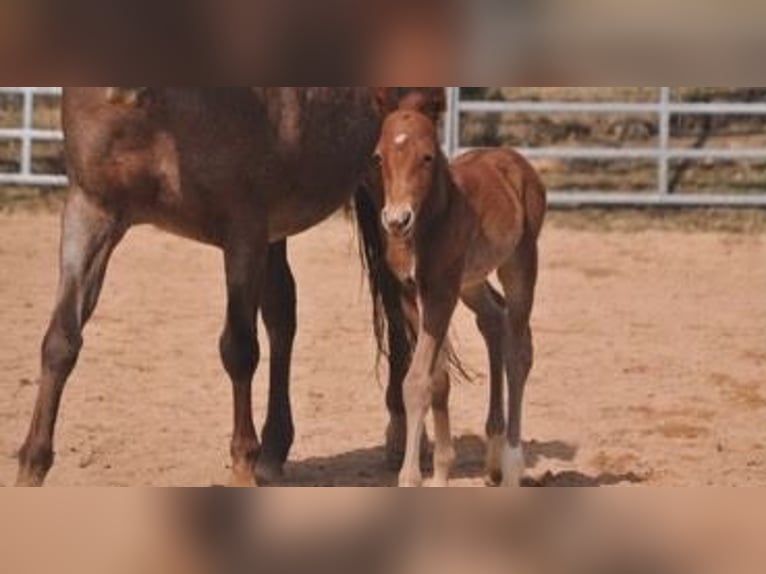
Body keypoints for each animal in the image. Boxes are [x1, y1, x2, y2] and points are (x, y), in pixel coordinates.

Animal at [16, 87, 436, 487]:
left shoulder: (244, 228)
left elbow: (239, 349)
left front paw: (242, 466)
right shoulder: (90, 210)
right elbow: (61, 341)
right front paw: (31, 466)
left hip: (386, 195)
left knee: (394, 303)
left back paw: (400, 437)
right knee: (283, 314)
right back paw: (274, 450)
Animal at [373, 91, 547, 487]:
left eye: (427, 156)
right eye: (378, 156)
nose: (396, 220)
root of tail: (515, 160)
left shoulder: (441, 293)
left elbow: (417, 380)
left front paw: (410, 477)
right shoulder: (411, 293)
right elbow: (437, 378)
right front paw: (440, 471)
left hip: (519, 263)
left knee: (518, 351)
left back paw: (512, 463)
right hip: (471, 282)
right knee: (494, 320)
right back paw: (493, 455)